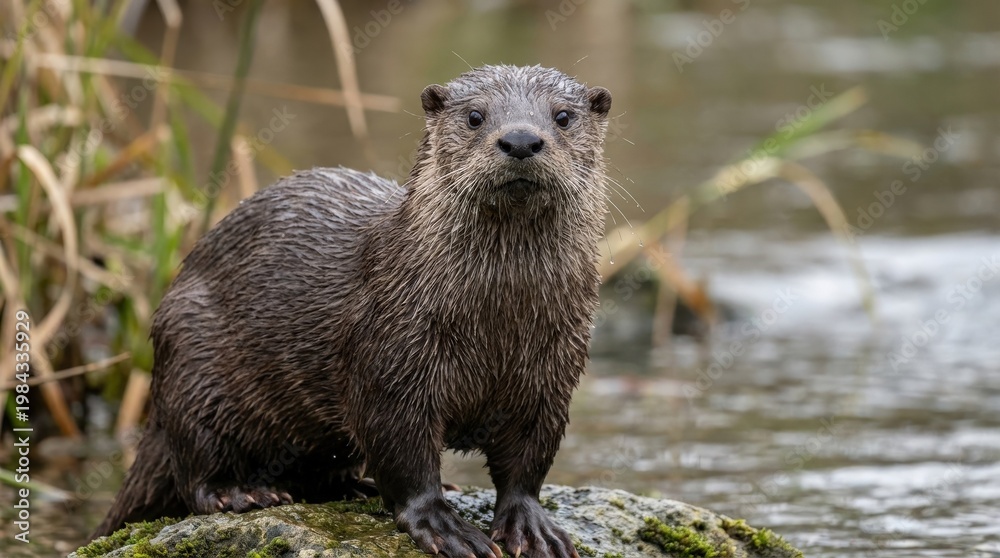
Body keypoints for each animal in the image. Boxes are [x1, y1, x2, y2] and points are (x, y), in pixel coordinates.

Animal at [94, 65, 612, 558]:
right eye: (474, 116)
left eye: (563, 116)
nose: (521, 139)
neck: (499, 322)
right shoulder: (391, 358)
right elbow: (402, 452)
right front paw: (441, 524)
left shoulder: (552, 374)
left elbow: (528, 461)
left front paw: (531, 525)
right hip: (192, 358)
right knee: (194, 466)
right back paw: (241, 494)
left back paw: (355, 487)